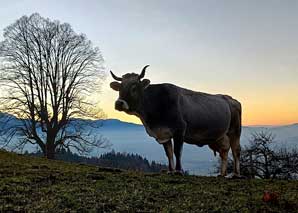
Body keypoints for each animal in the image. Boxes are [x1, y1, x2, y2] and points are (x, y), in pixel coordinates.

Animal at [109, 65, 242, 178]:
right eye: (120, 88)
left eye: (134, 87)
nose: (119, 103)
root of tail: (230, 99)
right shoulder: (163, 133)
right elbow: (169, 153)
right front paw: (170, 170)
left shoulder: (180, 129)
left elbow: (177, 151)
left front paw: (178, 171)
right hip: (220, 136)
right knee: (224, 152)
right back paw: (222, 174)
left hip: (235, 130)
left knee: (236, 151)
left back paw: (235, 174)